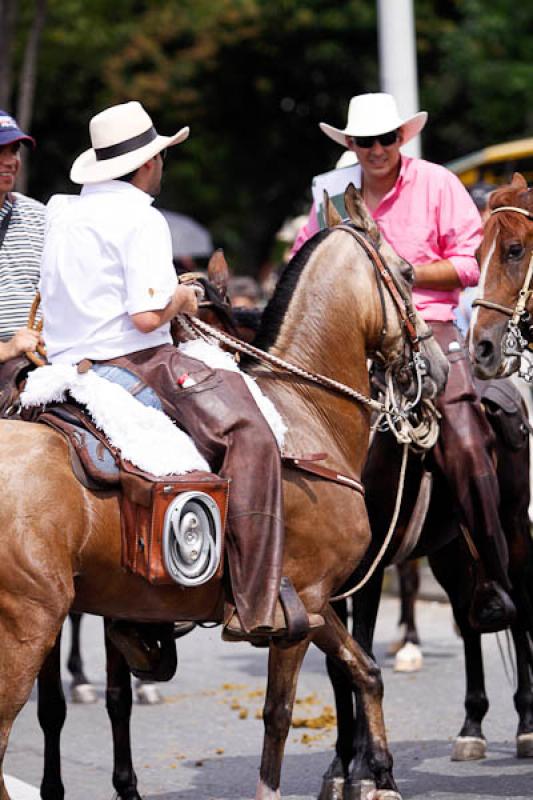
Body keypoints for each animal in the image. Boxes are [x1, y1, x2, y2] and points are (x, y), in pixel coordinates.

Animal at [0, 189, 446, 800]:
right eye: (406, 272)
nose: (441, 367)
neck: (306, 412)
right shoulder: (299, 606)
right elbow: (278, 715)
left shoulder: (314, 603)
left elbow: (364, 671)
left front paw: (381, 774)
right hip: (28, 627)